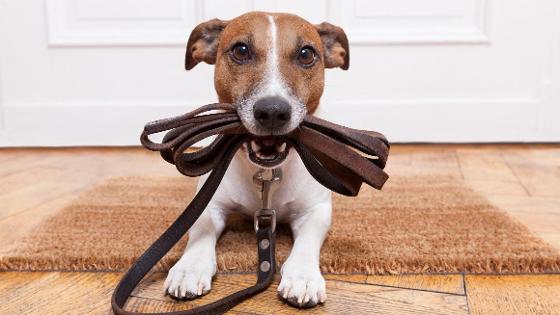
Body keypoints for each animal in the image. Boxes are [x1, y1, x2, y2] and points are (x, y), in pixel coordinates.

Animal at [162, 10, 348, 308]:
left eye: (306, 54)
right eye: (241, 50)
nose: (272, 111)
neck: (266, 172)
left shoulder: (315, 210)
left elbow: (308, 240)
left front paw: (303, 275)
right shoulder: (210, 203)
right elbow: (200, 230)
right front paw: (189, 267)